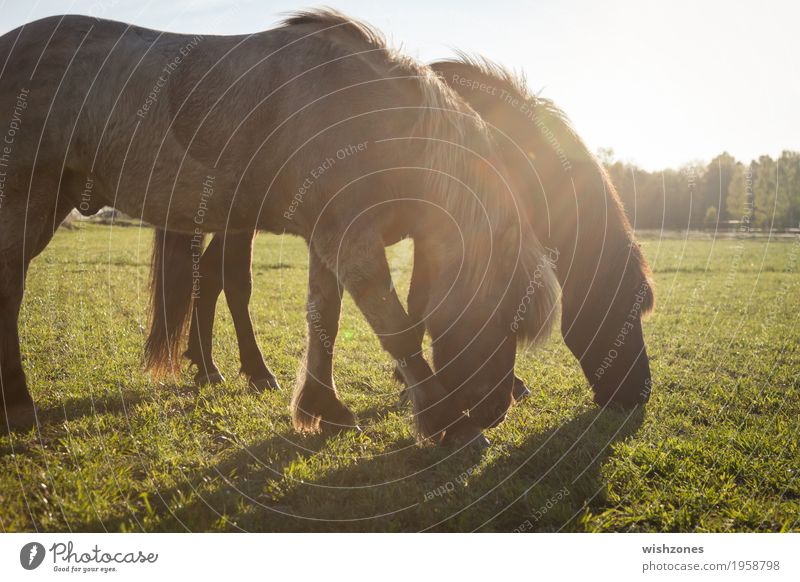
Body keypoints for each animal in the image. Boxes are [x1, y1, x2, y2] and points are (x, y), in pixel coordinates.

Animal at [0, 11, 556, 444]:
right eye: (508, 310)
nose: (497, 410)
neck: (368, 117)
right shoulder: (350, 239)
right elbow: (393, 325)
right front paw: (445, 422)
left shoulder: (328, 238)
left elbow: (324, 316)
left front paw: (323, 408)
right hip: (27, 202)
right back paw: (19, 404)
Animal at [158, 57, 656, 426]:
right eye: (625, 307)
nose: (639, 393)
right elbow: (421, 302)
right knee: (232, 280)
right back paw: (253, 372)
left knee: (210, 276)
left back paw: (207, 366)